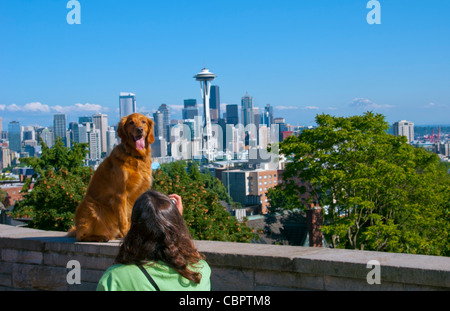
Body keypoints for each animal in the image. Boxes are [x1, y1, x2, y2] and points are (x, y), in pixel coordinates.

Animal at [71, 113, 155, 243]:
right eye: (131, 122)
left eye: (143, 122)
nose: (139, 129)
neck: (135, 156)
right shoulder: (120, 194)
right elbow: (123, 220)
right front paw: (127, 234)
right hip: (90, 204)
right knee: (80, 236)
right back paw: (100, 237)